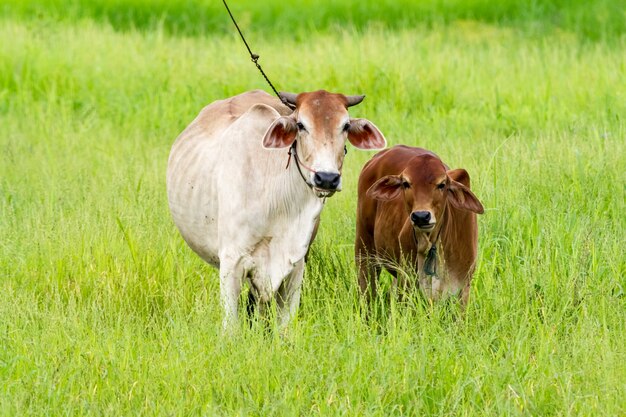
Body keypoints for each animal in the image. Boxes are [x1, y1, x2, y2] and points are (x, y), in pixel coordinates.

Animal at [168, 89, 388, 326]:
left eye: (345, 125)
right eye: (301, 125)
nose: (327, 178)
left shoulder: (295, 266)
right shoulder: (231, 264)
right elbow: (231, 328)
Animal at [356, 145, 482, 304]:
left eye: (442, 184)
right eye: (405, 183)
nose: (421, 216)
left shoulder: (463, 289)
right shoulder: (407, 283)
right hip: (364, 248)